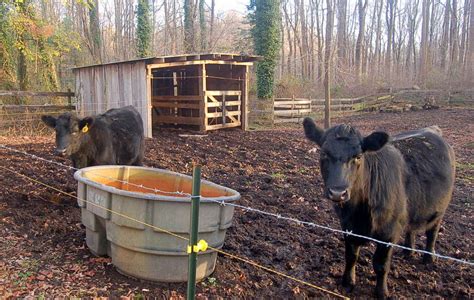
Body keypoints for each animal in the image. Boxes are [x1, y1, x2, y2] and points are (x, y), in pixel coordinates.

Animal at [304, 118, 456, 298]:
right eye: (324, 154)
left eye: (358, 156)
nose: (337, 192)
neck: (359, 213)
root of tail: (431, 129)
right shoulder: (347, 226)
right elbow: (351, 256)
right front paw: (347, 283)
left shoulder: (389, 232)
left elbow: (381, 264)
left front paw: (381, 292)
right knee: (411, 228)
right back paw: (408, 251)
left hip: (439, 210)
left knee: (432, 232)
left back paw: (429, 258)